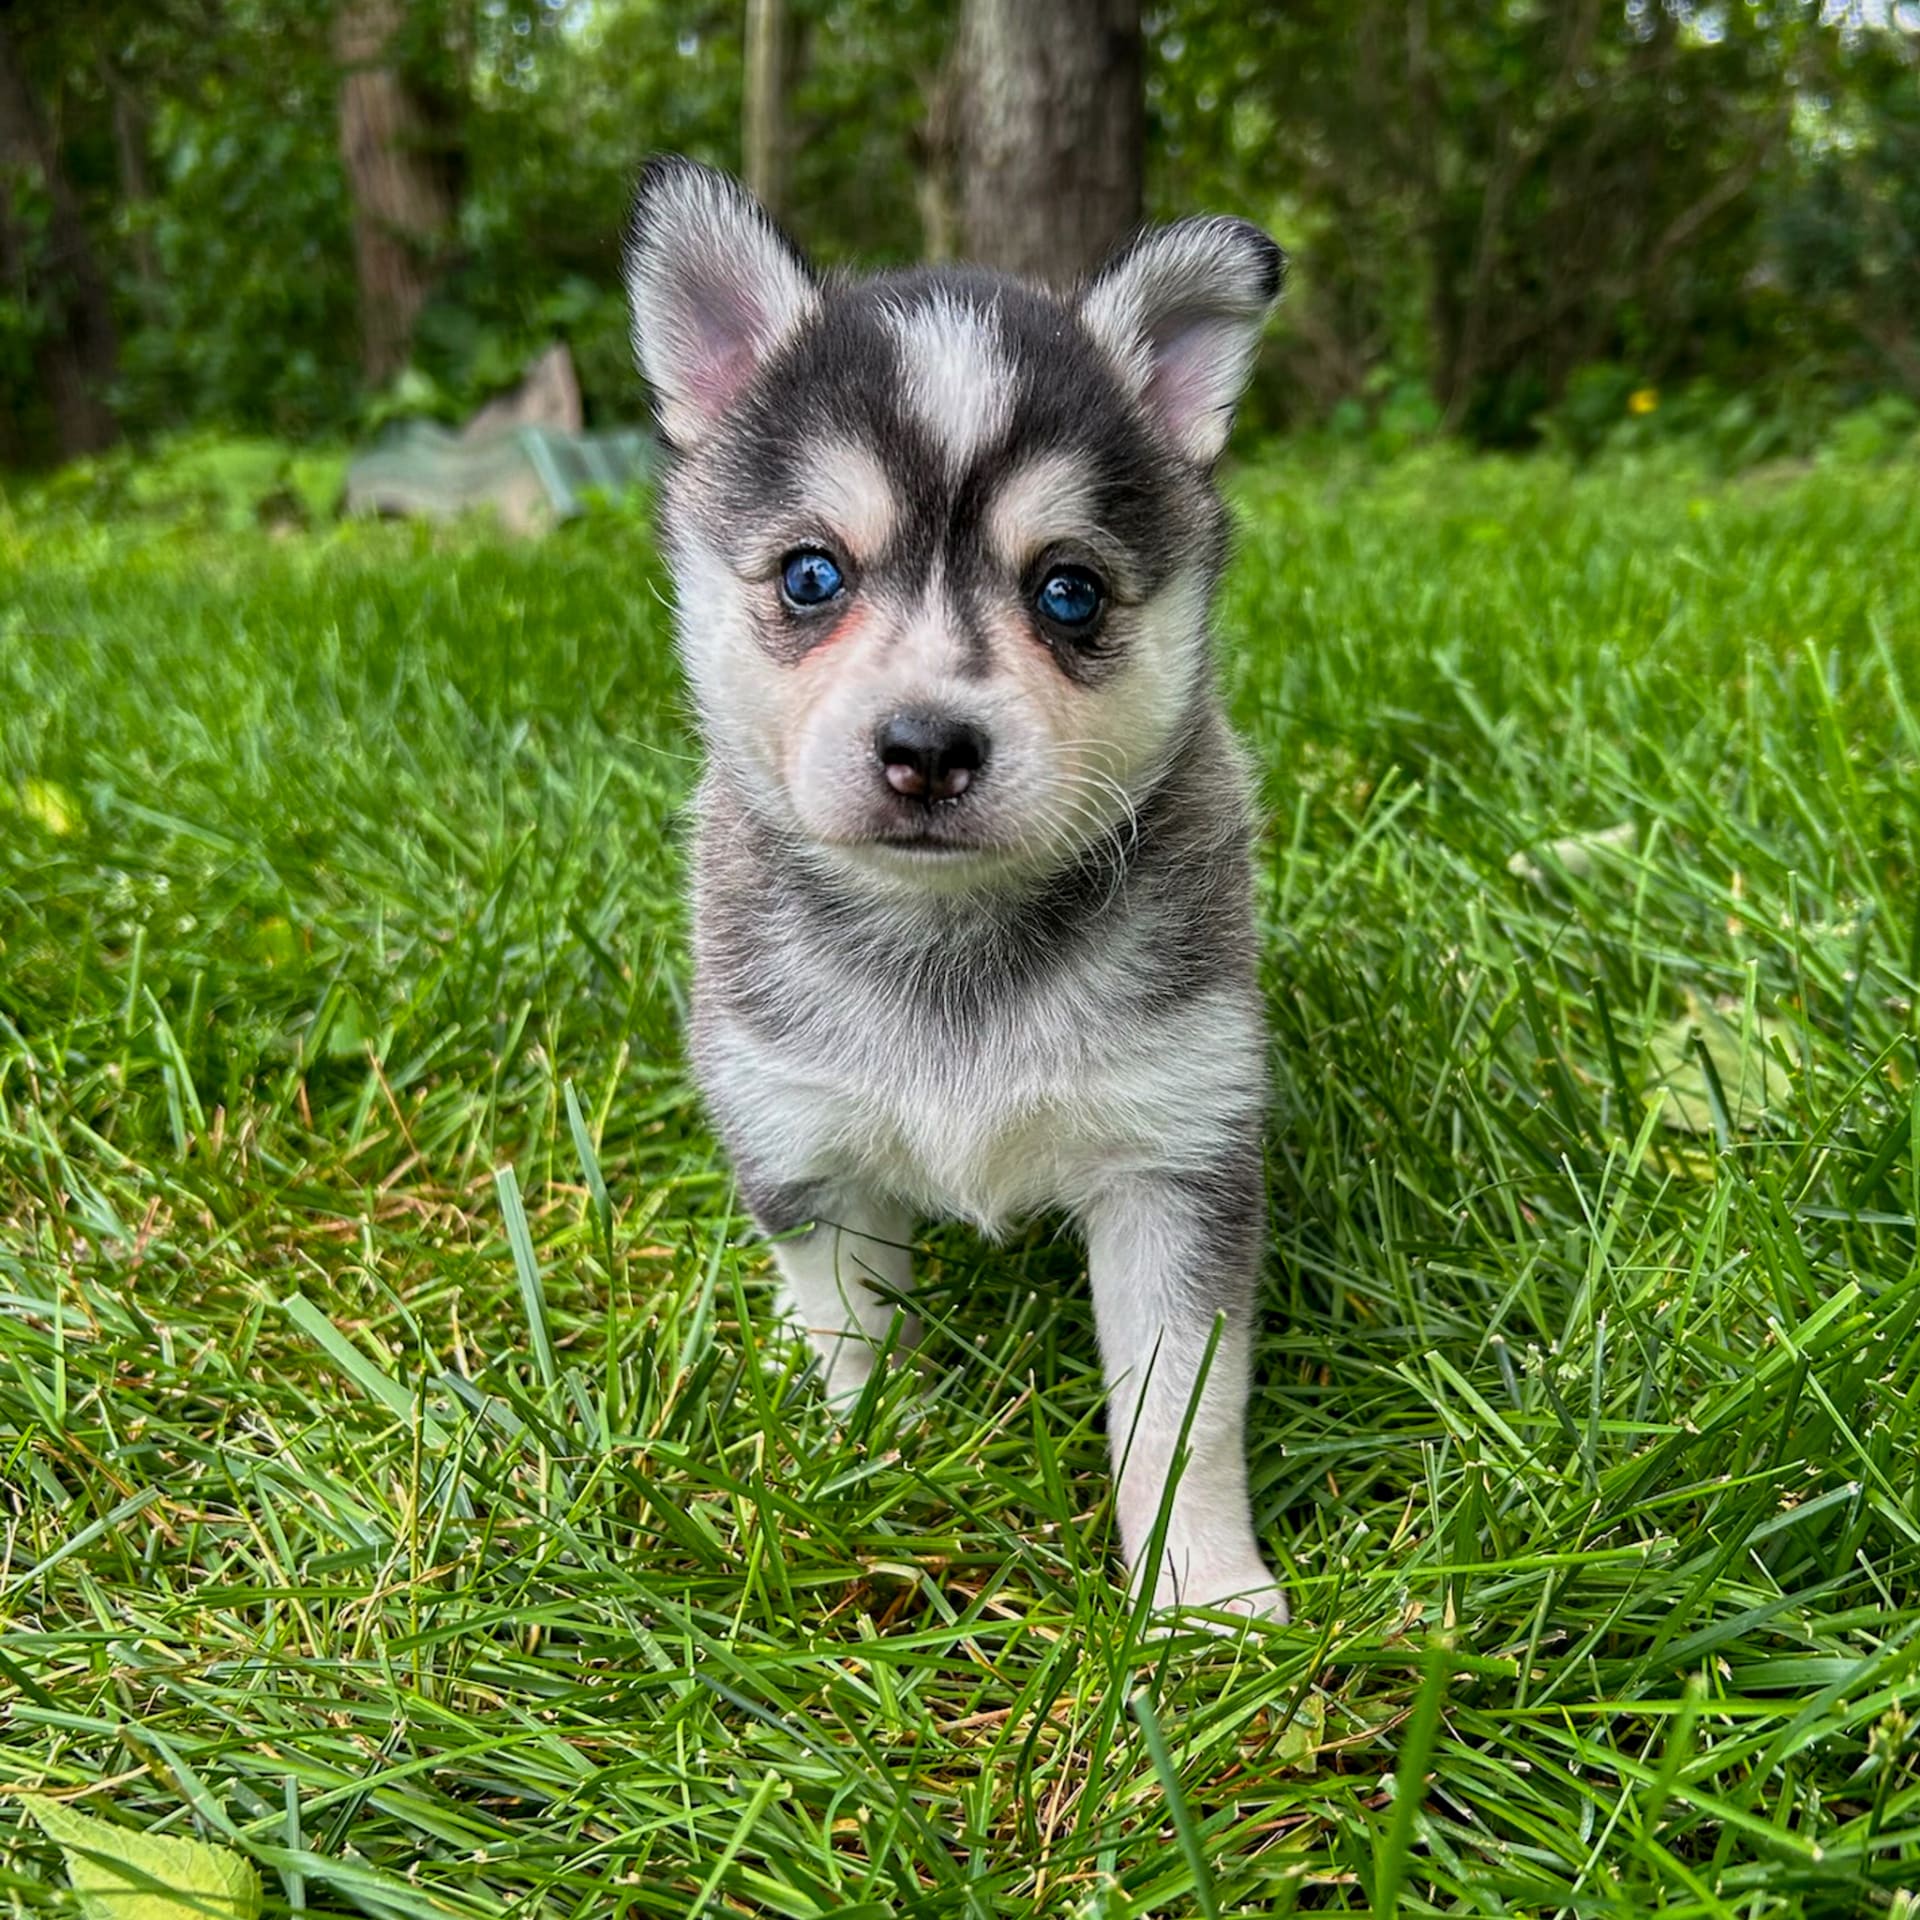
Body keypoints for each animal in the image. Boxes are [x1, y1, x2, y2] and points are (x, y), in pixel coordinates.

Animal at [629, 153, 1290, 1620]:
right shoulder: (809, 1155)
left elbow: (1182, 1413)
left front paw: (1203, 1596)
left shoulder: (1174, 1159)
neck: (947, 943)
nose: (928, 747)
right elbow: (851, 1336)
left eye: (1070, 592)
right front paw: (864, 1473)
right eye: (811, 573)